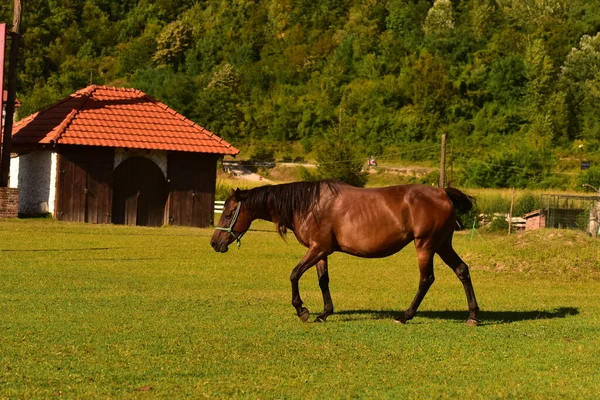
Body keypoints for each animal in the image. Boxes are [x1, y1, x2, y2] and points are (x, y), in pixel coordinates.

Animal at [209, 181, 480, 324]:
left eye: (228, 213)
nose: (214, 243)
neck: (310, 204)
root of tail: (443, 193)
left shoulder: (318, 249)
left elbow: (294, 274)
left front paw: (302, 310)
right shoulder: (321, 251)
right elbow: (323, 281)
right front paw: (324, 313)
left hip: (425, 245)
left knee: (426, 279)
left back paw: (405, 315)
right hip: (442, 244)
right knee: (462, 270)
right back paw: (473, 315)